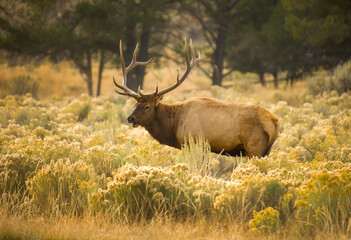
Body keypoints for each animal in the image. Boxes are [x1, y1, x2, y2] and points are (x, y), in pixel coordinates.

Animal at [115, 39, 280, 158]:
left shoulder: (194, 143)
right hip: (266, 150)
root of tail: (275, 121)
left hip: (255, 148)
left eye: (147, 106)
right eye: (135, 104)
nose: (130, 118)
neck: (174, 126)